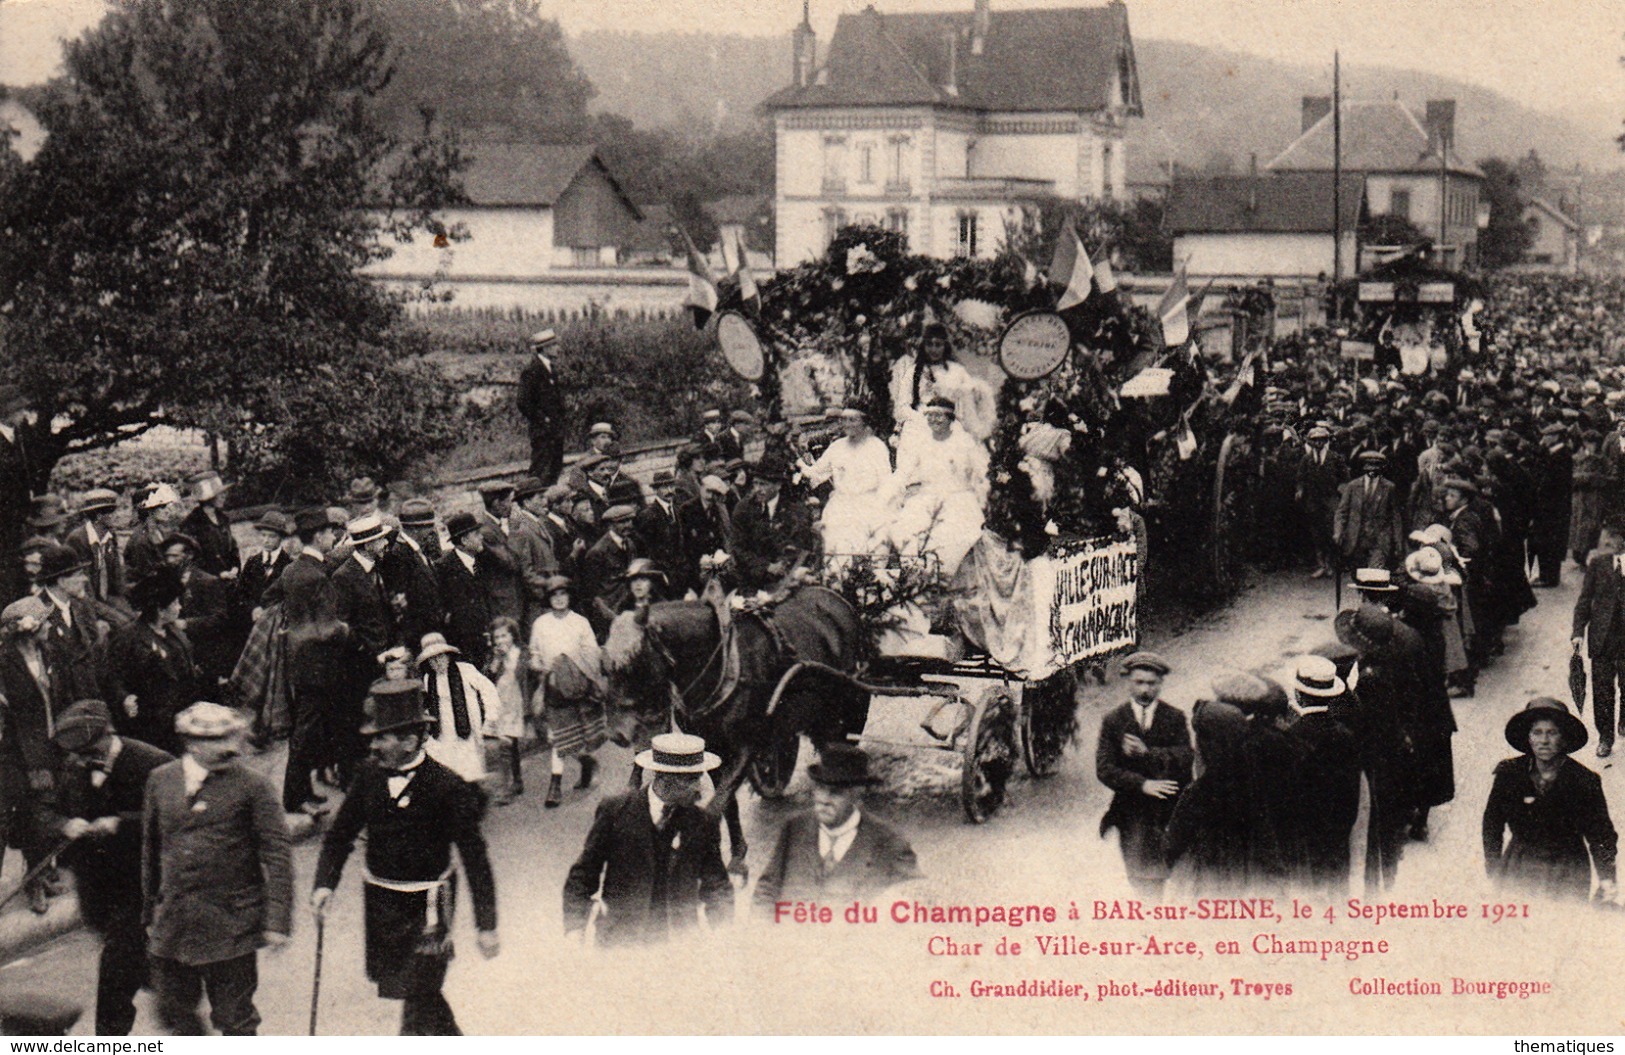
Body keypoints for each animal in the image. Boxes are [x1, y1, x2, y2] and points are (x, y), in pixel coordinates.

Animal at [604, 585, 871, 871]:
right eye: (605, 666)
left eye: (634, 663)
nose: (617, 733)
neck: (722, 664)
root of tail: (837, 599)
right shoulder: (713, 747)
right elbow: (728, 802)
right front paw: (737, 850)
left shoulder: (746, 746)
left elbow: (718, 802)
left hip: (849, 702)